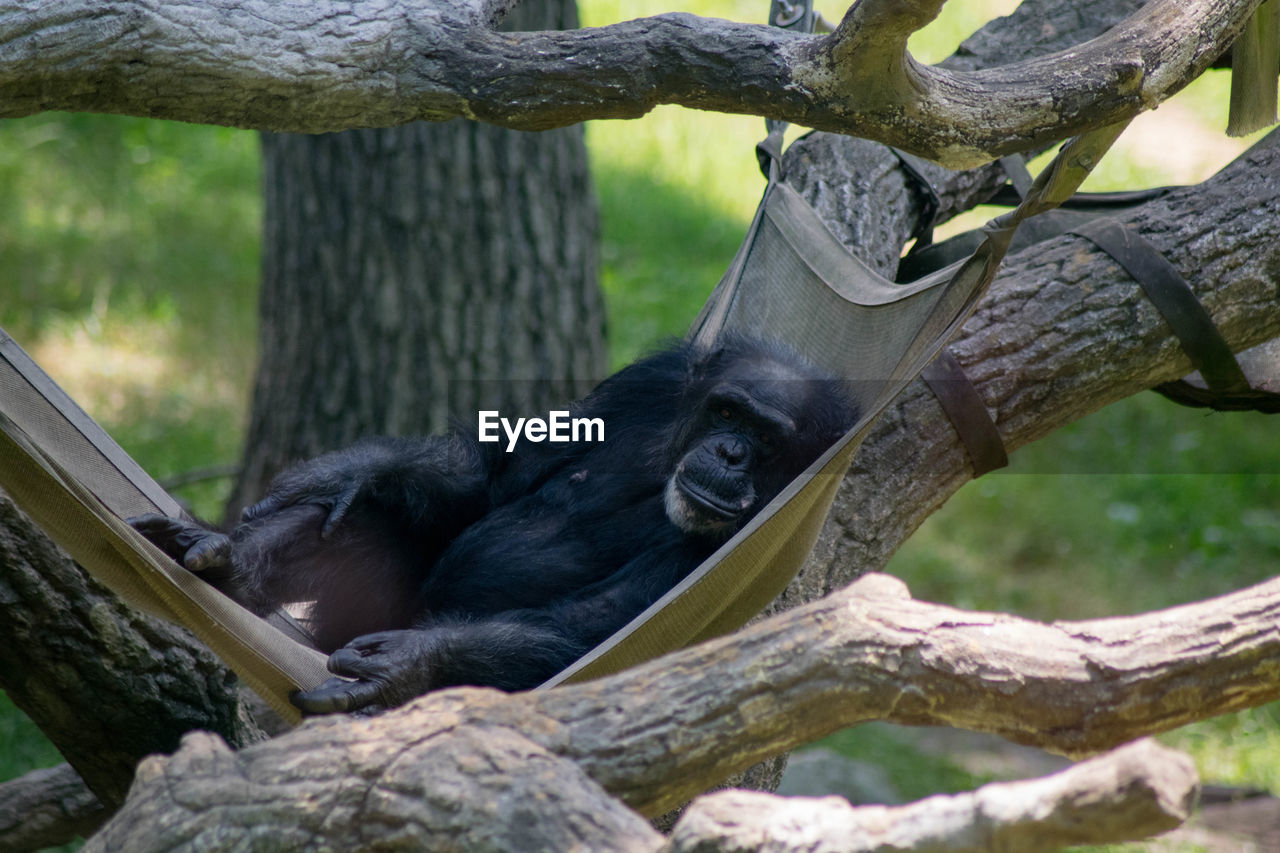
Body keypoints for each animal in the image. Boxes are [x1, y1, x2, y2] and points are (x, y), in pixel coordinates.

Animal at [129, 333, 855, 712]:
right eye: (728, 413)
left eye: (765, 437)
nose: (730, 452)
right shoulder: (649, 380)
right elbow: (500, 476)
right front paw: (350, 467)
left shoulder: (734, 546)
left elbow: (595, 625)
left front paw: (408, 663)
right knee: (372, 519)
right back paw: (225, 561)